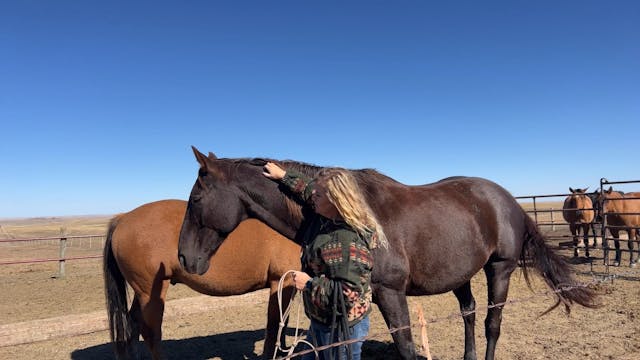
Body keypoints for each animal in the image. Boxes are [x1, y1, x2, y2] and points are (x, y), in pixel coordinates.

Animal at [103, 200, 302, 360]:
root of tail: (123, 218)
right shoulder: (281, 281)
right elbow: (275, 324)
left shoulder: (289, 285)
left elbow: (283, 322)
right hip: (150, 293)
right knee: (150, 332)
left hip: (142, 292)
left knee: (132, 324)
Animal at [176, 148, 600, 360]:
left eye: (195, 199)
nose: (184, 259)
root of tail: (507, 198)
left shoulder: (390, 293)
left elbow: (407, 347)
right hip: (461, 274)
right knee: (468, 313)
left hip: (501, 268)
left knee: (491, 325)